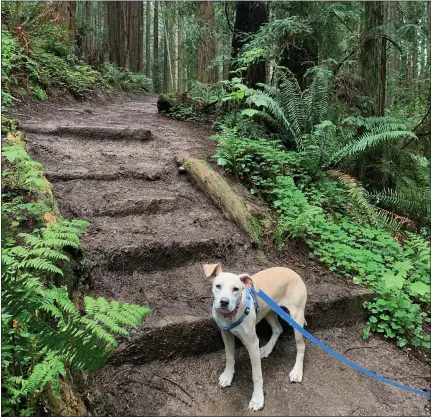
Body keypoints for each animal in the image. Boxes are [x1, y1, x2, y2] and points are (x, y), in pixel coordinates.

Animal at [203, 264, 308, 410]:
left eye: (236, 289)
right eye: (218, 286)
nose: (224, 301)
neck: (230, 315)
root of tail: (293, 272)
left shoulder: (252, 343)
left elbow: (256, 375)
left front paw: (258, 399)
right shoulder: (226, 334)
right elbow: (229, 356)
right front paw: (227, 376)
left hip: (296, 318)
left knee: (301, 345)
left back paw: (297, 371)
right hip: (269, 312)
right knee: (278, 329)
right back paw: (267, 349)